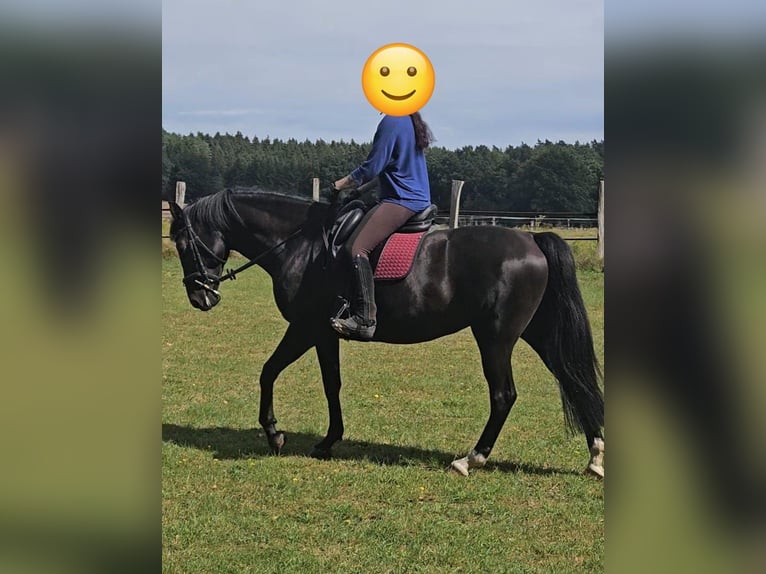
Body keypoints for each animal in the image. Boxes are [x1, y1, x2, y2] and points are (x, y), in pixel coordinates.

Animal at [168, 188, 605, 477]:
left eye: (184, 241)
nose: (199, 296)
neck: (301, 245)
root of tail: (530, 239)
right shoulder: (325, 334)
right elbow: (331, 384)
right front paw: (328, 441)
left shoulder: (305, 328)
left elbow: (268, 372)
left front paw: (275, 434)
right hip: (536, 332)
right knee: (574, 378)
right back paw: (595, 456)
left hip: (495, 337)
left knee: (504, 395)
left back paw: (471, 459)